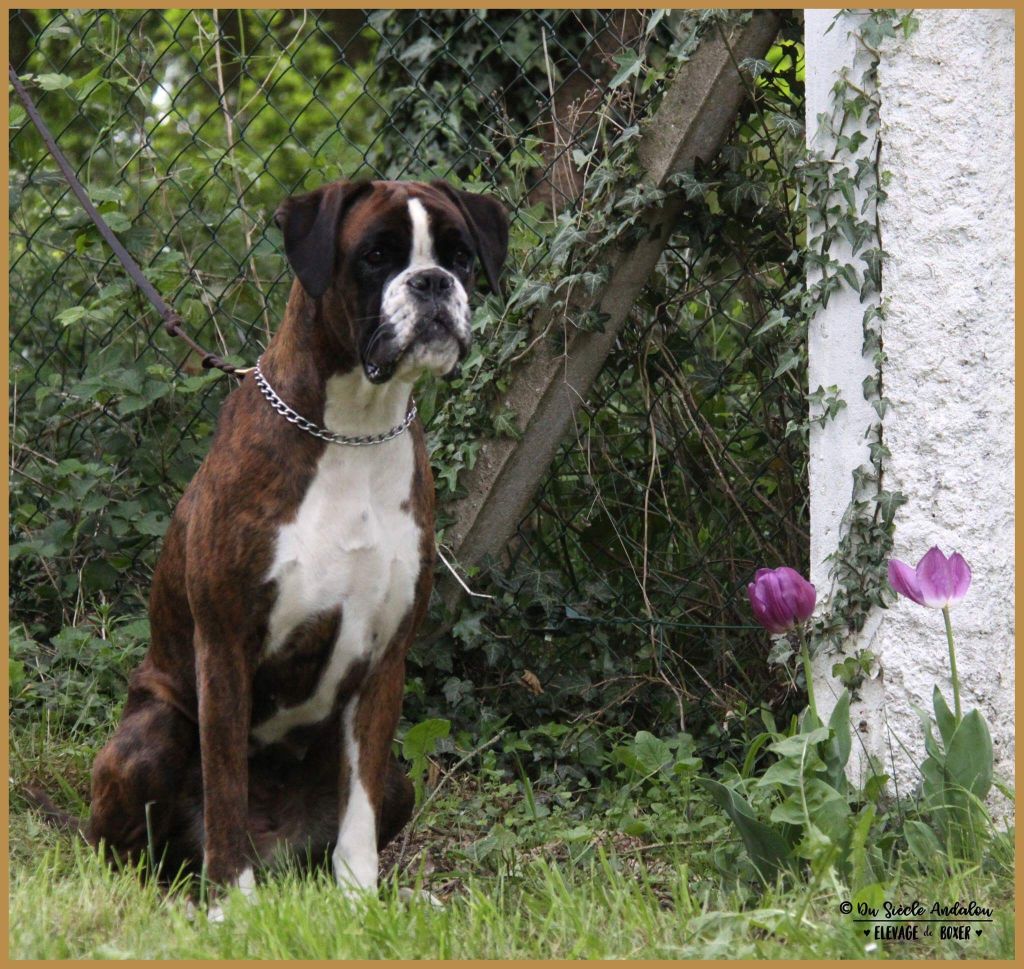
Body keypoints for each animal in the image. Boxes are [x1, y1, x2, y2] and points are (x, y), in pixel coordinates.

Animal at [84, 177, 507, 909]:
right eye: (375, 255)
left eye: (460, 255)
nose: (432, 283)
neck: (354, 429)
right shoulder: (225, 645)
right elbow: (225, 783)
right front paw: (233, 904)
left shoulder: (385, 659)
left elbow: (358, 812)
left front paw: (363, 903)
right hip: (154, 733)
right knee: (131, 852)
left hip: (401, 781)